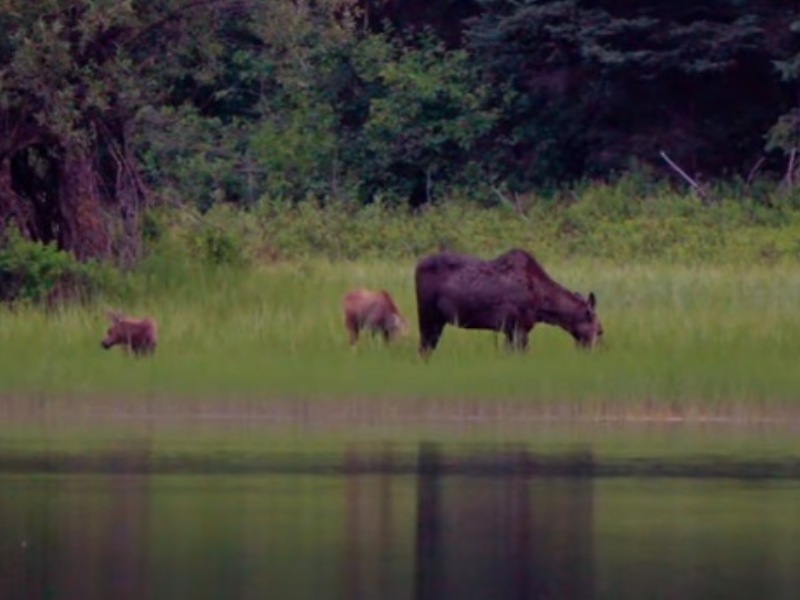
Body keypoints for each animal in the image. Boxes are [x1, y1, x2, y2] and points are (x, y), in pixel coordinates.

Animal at [414, 248, 603, 358]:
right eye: (599, 330)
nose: (595, 352)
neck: (543, 307)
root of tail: (417, 266)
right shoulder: (519, 328)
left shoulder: (510, 331)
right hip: (428, 315)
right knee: (424, 348)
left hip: (438, 321)